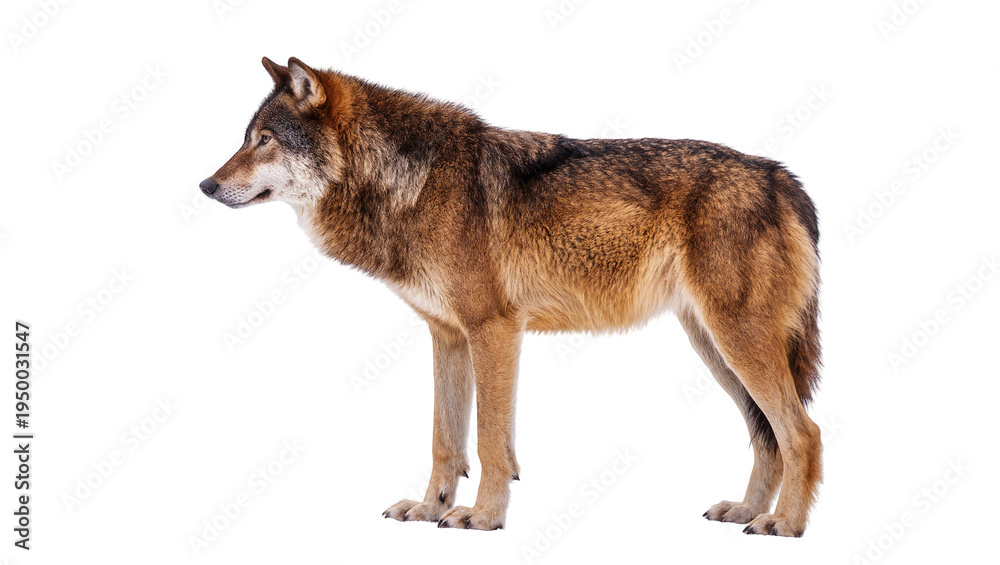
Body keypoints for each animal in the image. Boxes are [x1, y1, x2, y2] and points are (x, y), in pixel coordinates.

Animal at [200, 57, 823, 536]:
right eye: (246, 138)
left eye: (264, 140)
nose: (205, 185)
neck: (412, 184)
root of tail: (781, 176)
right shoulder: (448, 336)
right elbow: (445, 440)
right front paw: (429, 508)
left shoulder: (494, 329)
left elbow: (490, 441)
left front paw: (483, 517)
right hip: (715, 348)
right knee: (767, 436)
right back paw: (746, 511)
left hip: (736, 343)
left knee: (802, 432)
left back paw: (784, 525)